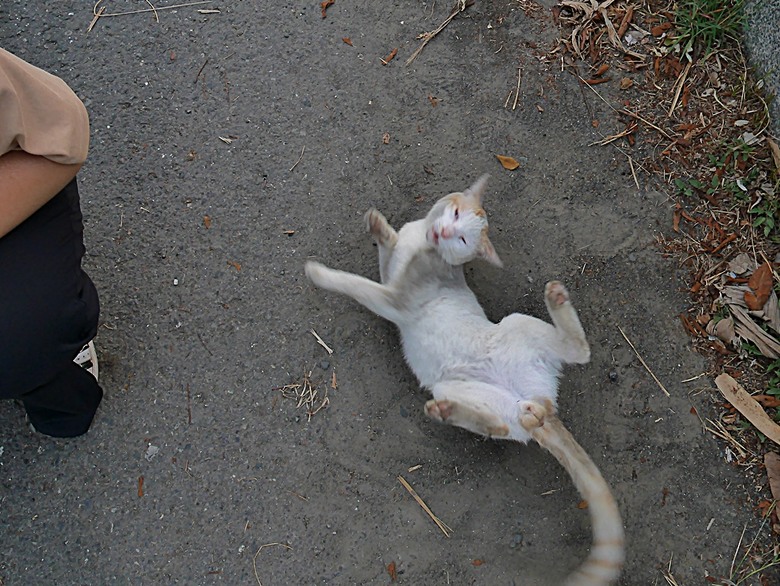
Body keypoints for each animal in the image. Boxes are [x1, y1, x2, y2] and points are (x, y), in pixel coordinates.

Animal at [308, 175, 624, 584]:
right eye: (455, 213)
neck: (422, 244)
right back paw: (460, 411)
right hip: (475, 386)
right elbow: (389, 248)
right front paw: (380, 227)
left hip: (513, 328)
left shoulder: (392, 299)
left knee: (578, 353)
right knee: (506, 425)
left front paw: (318, 272)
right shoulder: (393, 272)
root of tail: (539, 402)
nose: (443, 232)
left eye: (461, 241)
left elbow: (357, 284)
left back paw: (553, 300)